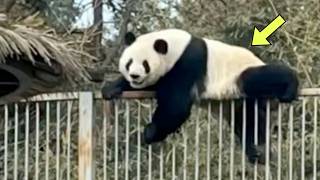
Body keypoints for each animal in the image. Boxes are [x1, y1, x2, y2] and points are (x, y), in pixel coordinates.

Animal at [103, 28, 300, 163]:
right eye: (129, 63)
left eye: (145, 64)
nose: (135, 76)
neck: (175, 46)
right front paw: (111, 88)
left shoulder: (186, 63)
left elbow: (177, 105)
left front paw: (150, 132)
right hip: (241, 103)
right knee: (248, 121)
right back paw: (258, 152)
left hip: (239, 74)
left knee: (258, 78)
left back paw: (290, 85)